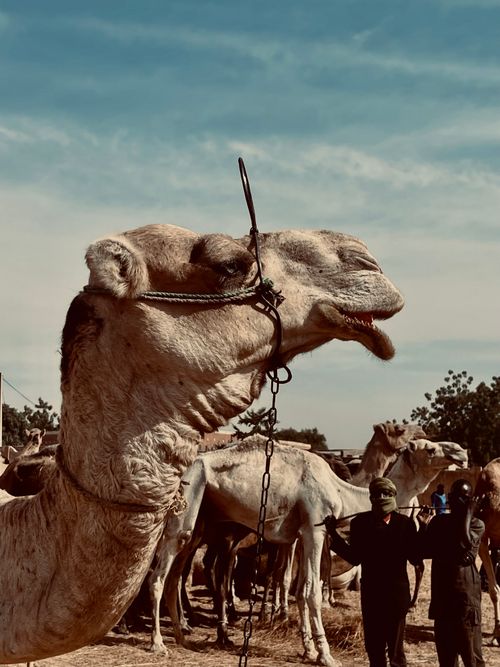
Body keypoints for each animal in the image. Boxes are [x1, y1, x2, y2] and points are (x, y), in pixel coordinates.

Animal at [148, 438, 467, 663]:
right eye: (430, 448)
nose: (461, 452)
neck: (342, 492)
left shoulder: (302, 534)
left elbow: (300, 589)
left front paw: (309, 649)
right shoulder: (316, 528)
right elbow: (312, 590)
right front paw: (325, 655)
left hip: (202, 517)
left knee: (175, 574)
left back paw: (182, 636)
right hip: (189, 495)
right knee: (159, 574)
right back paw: (158, 643)